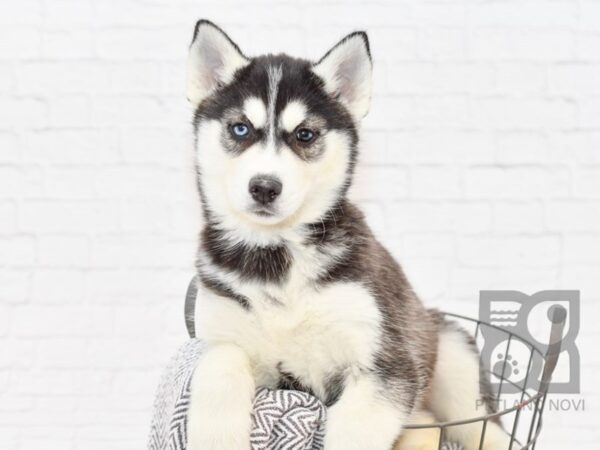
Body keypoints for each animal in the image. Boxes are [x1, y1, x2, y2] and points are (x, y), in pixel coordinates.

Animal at [186, 20, 506, 450]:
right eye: (240, 128)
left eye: (305, 135)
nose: (265, 187)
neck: (277, 256)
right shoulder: (223, 337)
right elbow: (220, 363)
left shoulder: (388, 366)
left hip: (452, 352)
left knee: (481, 426)